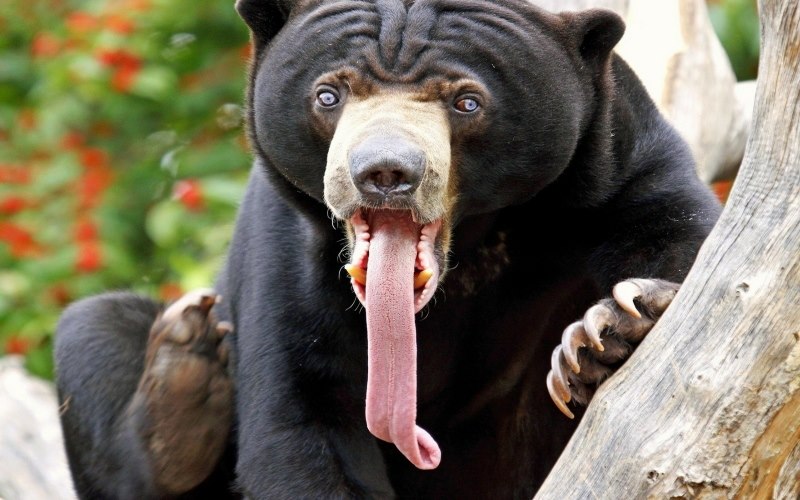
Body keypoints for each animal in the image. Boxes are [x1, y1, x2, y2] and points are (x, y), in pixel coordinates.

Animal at [54, 0, 722, 498]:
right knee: (96, 328)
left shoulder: (618, 163)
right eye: (329, 94)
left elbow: (680, 242)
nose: (384, 173)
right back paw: (183, 380)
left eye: (466, 101)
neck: (471, 248)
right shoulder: (290, 250)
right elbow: (302, 415)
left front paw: (605, 334)